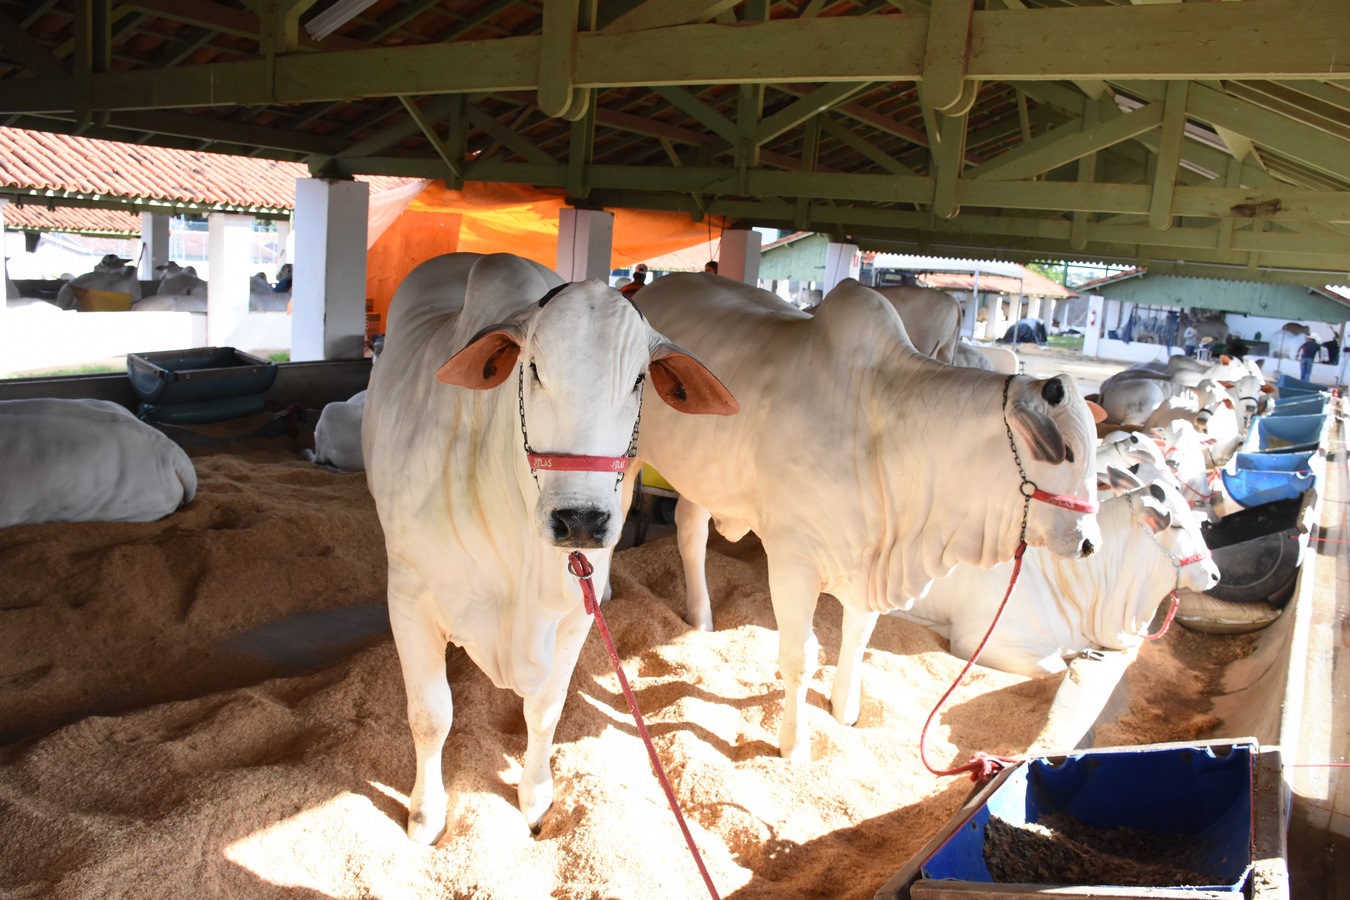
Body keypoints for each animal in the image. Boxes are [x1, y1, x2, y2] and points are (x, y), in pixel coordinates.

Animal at [361, 253, 739, 847]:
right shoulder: (408, 595)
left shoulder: (572, 614)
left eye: (639, 380)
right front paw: (426, 815)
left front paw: (536, 799)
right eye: (533, 368)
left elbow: (545, 709)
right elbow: (431, 716)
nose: (580, 520)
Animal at [626, 272, 1101, 761]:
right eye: (1066, 451)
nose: (1089, 542)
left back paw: (701, 619)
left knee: (690, 530)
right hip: (630, 456)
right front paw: (795, 745)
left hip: (702, 472)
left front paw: (844, 710)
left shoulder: (866, 563)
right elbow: (800, 656)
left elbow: (856, 638)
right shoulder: (793, 560)